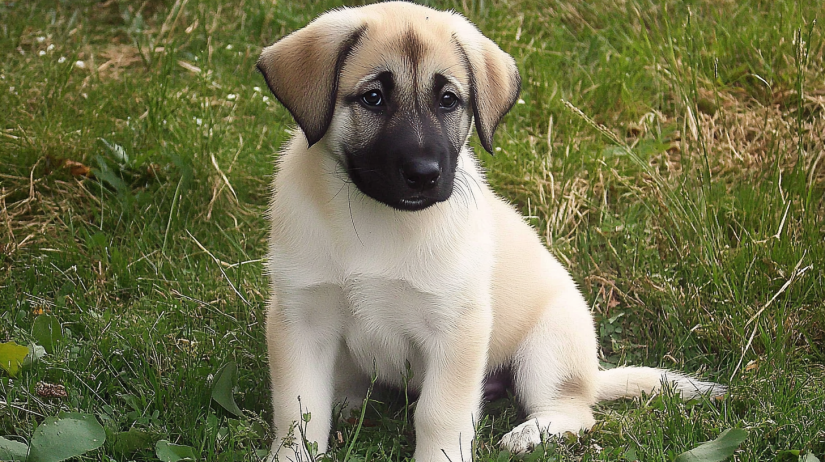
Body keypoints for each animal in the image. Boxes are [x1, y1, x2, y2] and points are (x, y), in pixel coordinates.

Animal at [256, 1, 720, 460]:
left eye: (448, 100)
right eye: (373, 98)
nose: (424, 174)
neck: (377, 221)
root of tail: (592, 374)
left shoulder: (457, 327)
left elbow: (439, 414)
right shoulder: (300, 320)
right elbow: (299, 412)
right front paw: (292, 455)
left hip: (547, 347)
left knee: (575, 410)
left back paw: (530, 433)